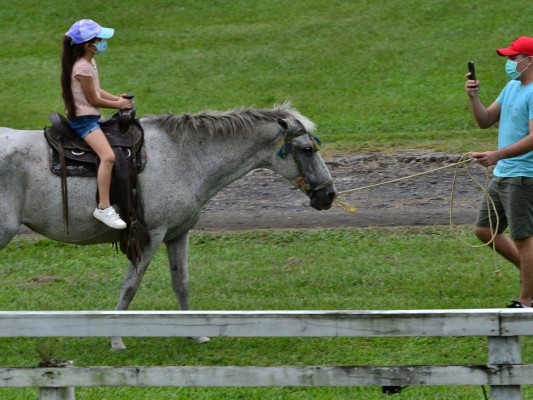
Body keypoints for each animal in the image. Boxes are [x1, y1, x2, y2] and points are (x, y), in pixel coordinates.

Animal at [0, 104, 336, 350]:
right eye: (307, 149)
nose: (329, 194)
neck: (184, 156)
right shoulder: (151, 236)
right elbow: (130, 286)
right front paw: (116, 339)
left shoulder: (177, 235)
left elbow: (181, 283)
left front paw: (195, 334)